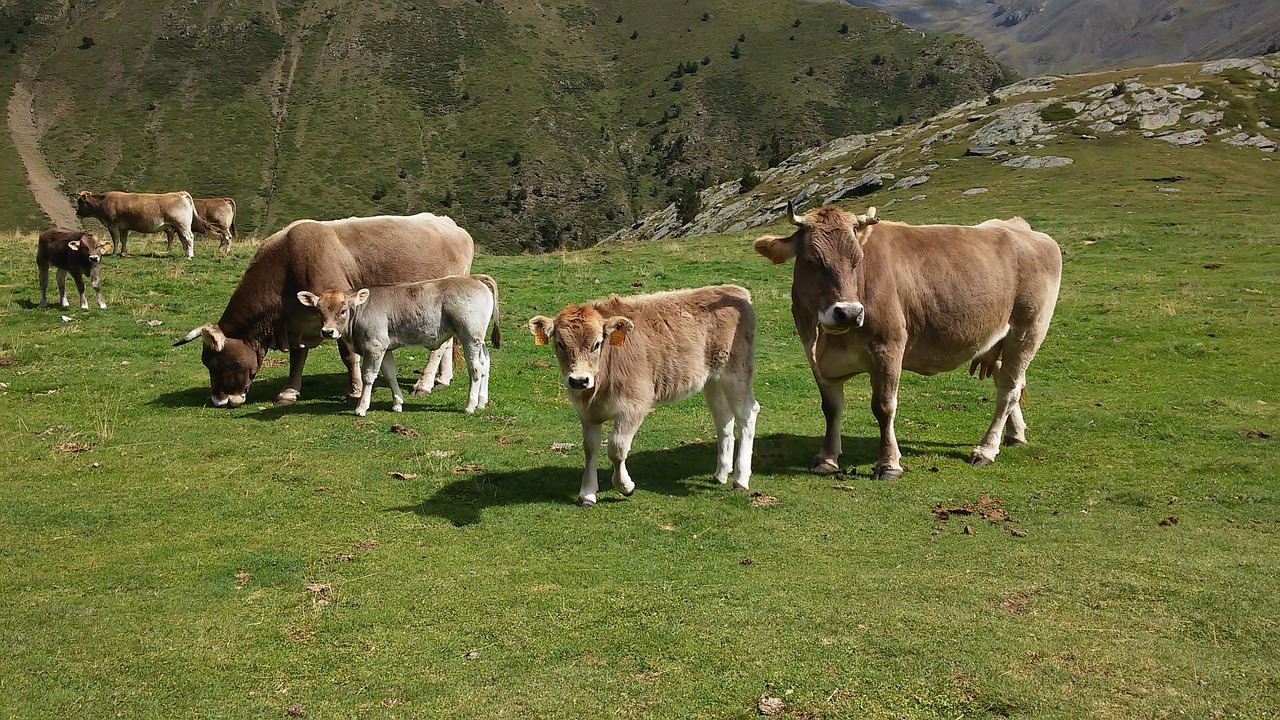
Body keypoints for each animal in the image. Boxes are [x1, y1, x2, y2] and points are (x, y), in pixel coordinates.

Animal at [76, 189, 215, 258]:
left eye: (80, 202)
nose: (77, 213)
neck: (103, 201)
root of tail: (179, 194)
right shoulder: (124, 227)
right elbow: (123, 240)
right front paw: (123, 252)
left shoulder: (113, 225)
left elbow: (115, 240)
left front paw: (114, 253)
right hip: (179, 227)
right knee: (184, 239)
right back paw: (186, 254)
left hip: (182, 225)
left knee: (189, 238)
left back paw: (189, 255)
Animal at [175, 210, 476, 407]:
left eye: (216, 362)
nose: (218, 400)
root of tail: (450, 225)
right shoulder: (299, 321)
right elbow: (298, 358)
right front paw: (289, 392)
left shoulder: (343, 312)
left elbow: (348, 355)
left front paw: (355, 391)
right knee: (448, 342)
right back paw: (442, 379)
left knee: (439, 346)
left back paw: (424, 383)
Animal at [298, 271, 499, 415]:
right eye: (319, 311)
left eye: (343, 310)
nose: (327, 331)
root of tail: (473, 277)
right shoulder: (385, 348)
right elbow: (389, 375)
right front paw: (397, 403)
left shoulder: (374, 346)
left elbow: (368, 376)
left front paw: (361, 407)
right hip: (479, 340)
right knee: (485, 363)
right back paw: (482, 401)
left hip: (469, 336)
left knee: (475, 368)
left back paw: (470, 405)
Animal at [529, 283, 757, 507]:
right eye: (560, 344)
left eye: (597, 343)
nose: (578, 380)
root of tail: (733, 289)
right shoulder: (587, 412)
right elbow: (590, 448)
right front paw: (587, 493)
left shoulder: (634, 406)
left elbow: (616, 447)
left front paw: (625, 486)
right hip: (713, 380)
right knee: (723, 419)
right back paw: (721, 473)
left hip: (736, 374)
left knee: (747, 414)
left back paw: (740, 478)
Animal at [752, 202, 1064, 476]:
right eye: (813, 260)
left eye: (857, 261)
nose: (849, 313)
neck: (827, 340)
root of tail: (1019, 227)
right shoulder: (816, 357)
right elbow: (831, 408)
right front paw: (827, 458)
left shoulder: (888, 347)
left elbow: (883, 407)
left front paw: (889, 464)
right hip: (1001, 338)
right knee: (1009, 382)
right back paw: (1014, 435)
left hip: (1028, 330)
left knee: (1008, 390)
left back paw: (986, 449)